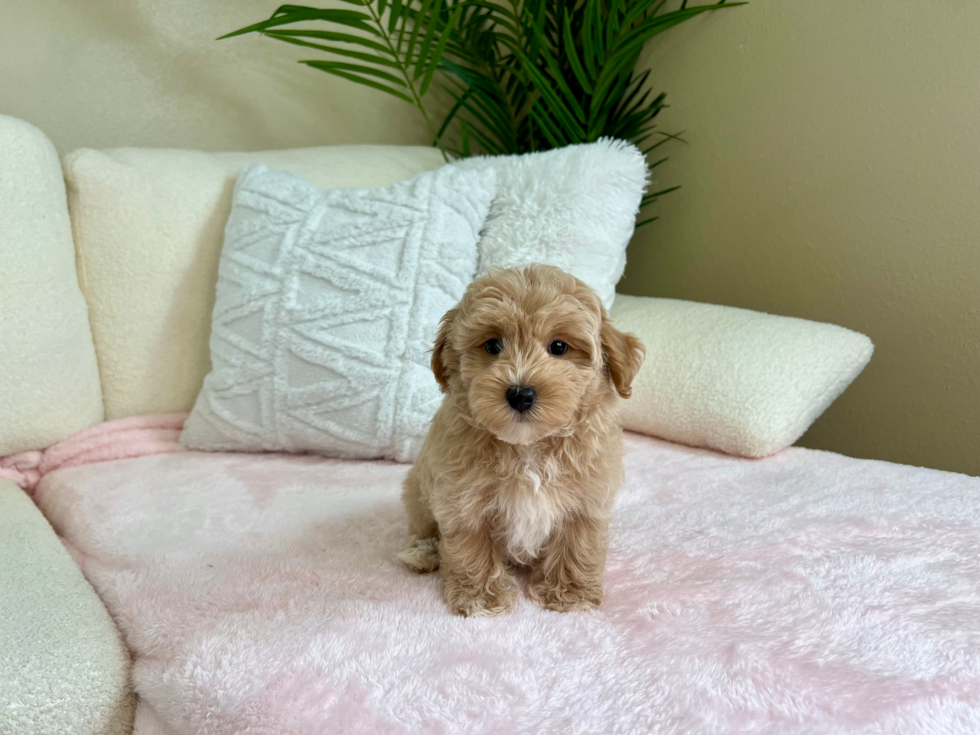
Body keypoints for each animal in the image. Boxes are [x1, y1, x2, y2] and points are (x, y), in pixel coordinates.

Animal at [396, 264, 644, 616]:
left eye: (559, 347)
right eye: (492, 345)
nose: (520, 393)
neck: (528, 446)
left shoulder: (586, 499)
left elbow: (577, 544)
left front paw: (570, 593)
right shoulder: (461, 499)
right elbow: (471, 548)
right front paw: (481, 598)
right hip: (417, 489)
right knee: (422, 527)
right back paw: (423, 552)